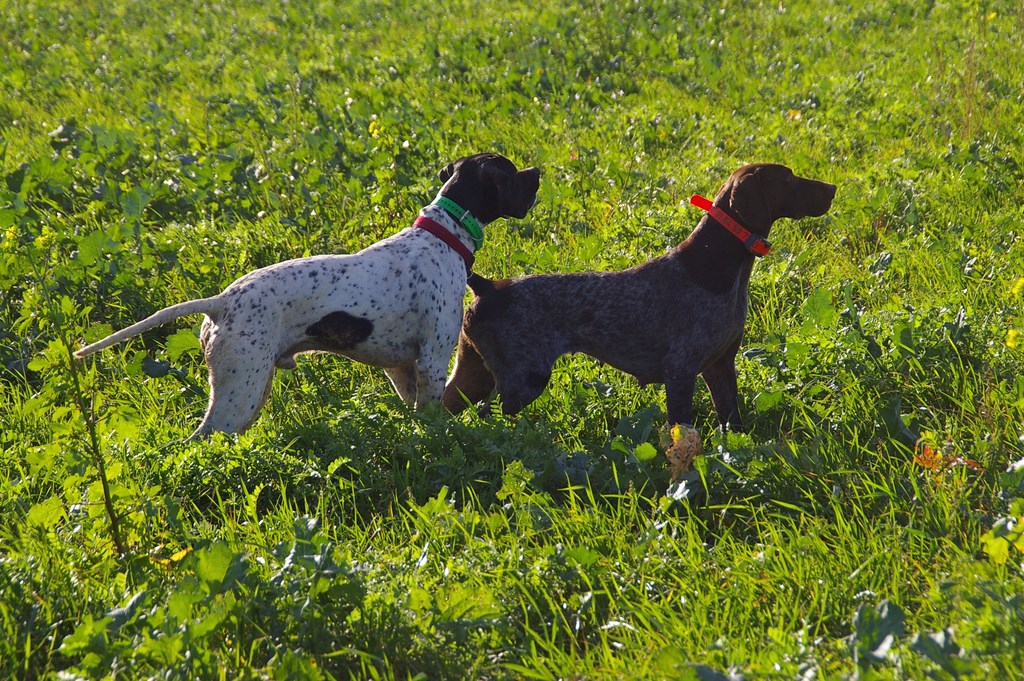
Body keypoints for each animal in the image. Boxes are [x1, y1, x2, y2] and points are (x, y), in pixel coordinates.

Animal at [74, 152, 540, 440]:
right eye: (511, 170)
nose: (537, 172)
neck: (443, 235)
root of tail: (220, 302)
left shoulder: (403, 368)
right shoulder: (430, 360)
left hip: (250, 389)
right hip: (239, 395)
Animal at [440, 164, 831, 448]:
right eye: (788, 178)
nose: (832, 189)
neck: (717, 265)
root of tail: (488, 287)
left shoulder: (721, 367)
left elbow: (731, 420)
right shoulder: (680, 371)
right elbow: (683, 431)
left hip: (473, 374)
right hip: (522, 380)